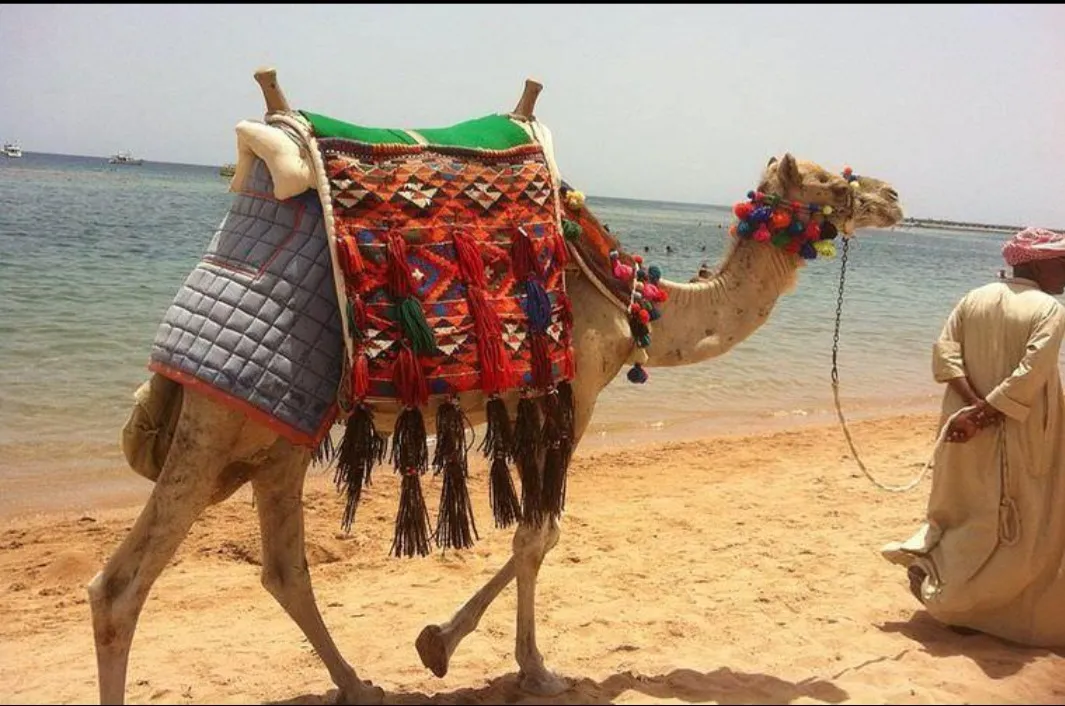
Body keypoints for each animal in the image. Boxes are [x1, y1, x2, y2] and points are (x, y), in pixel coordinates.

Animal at [88, 71, 904, 705]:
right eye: (828, 178)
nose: (894, 194)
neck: (630, 298)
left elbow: (535, 531)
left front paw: (440, 647)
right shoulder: (575, 391)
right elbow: (540, 532)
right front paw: (519, 665)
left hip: (277, 435)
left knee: (285, 569)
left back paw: (359, 684)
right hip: (219, 422)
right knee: (120, 587)